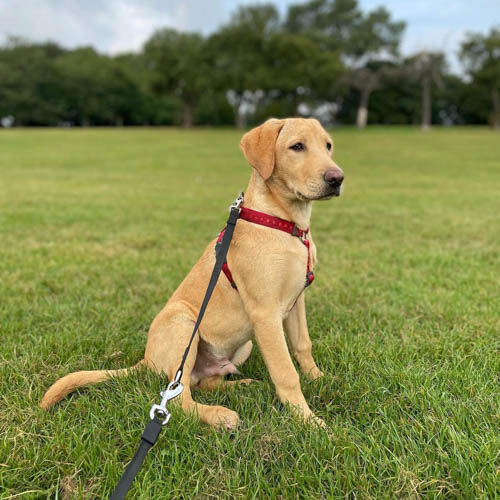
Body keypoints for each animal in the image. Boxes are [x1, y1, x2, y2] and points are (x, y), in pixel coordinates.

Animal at [41, 118, 344, 430]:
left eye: (328, 146)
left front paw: (321, 379)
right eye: (297, 146)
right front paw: (307, 420)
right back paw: (219, 415)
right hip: (184, 327)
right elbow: (285, 371)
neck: (285, 223)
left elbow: (303, 346)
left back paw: (240, 386)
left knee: (204, 383)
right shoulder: (266, 314)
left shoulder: (296, 302)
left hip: (242, 345)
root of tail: (147, 360)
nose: (337, 178)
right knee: (178, 400)